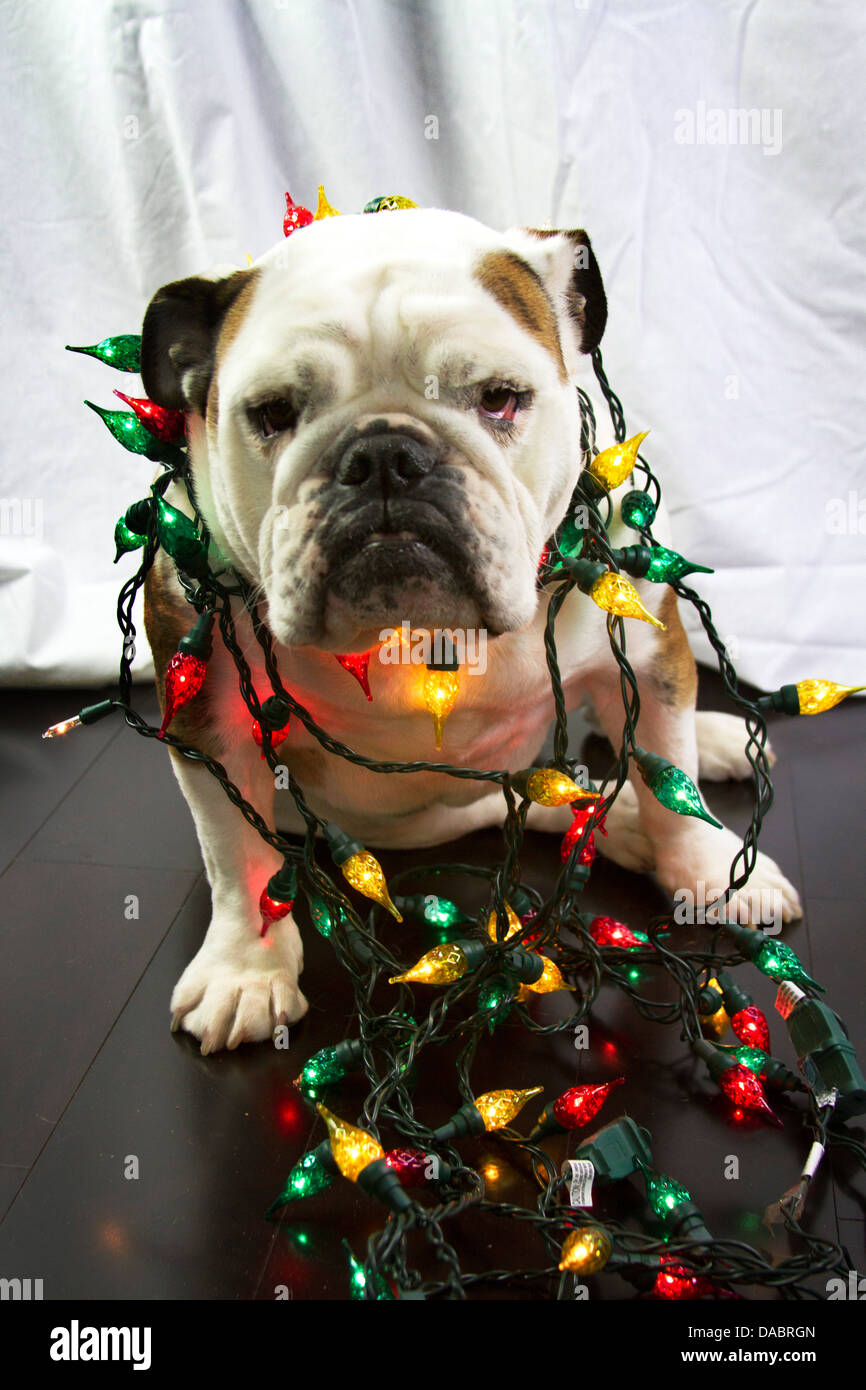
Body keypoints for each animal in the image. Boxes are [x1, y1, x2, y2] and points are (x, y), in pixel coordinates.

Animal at [139, 205, 800, 1050]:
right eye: (274, 413)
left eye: (498, 398)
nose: (384, 454)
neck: (419, 635)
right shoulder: (210, 709)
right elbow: (236, 853)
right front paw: (243, 971)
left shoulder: (647, 646)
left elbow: (668, 773)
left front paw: (708, 872)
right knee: (545, 797)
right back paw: (613, 823)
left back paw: (701, 757)